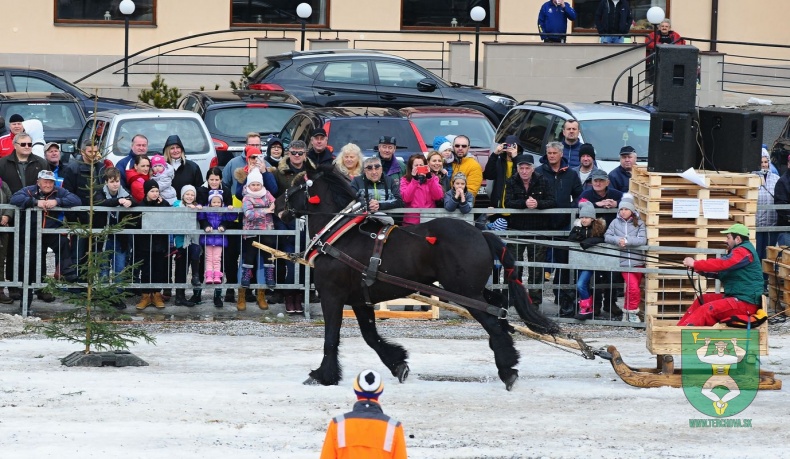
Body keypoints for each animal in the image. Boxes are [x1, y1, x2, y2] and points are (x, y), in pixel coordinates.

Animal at [276, 164, 560, 390]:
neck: (340, 237)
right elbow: (370, 336)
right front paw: (397, 363)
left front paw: (323, 375)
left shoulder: (332, 296)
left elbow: (331, 338)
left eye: (297, 183)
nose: (277, 204)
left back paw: (508, 369)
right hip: (473, 290)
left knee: (493, 323)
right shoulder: (360, 299)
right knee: (499, 310)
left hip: (465, 293)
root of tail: (481, 233)